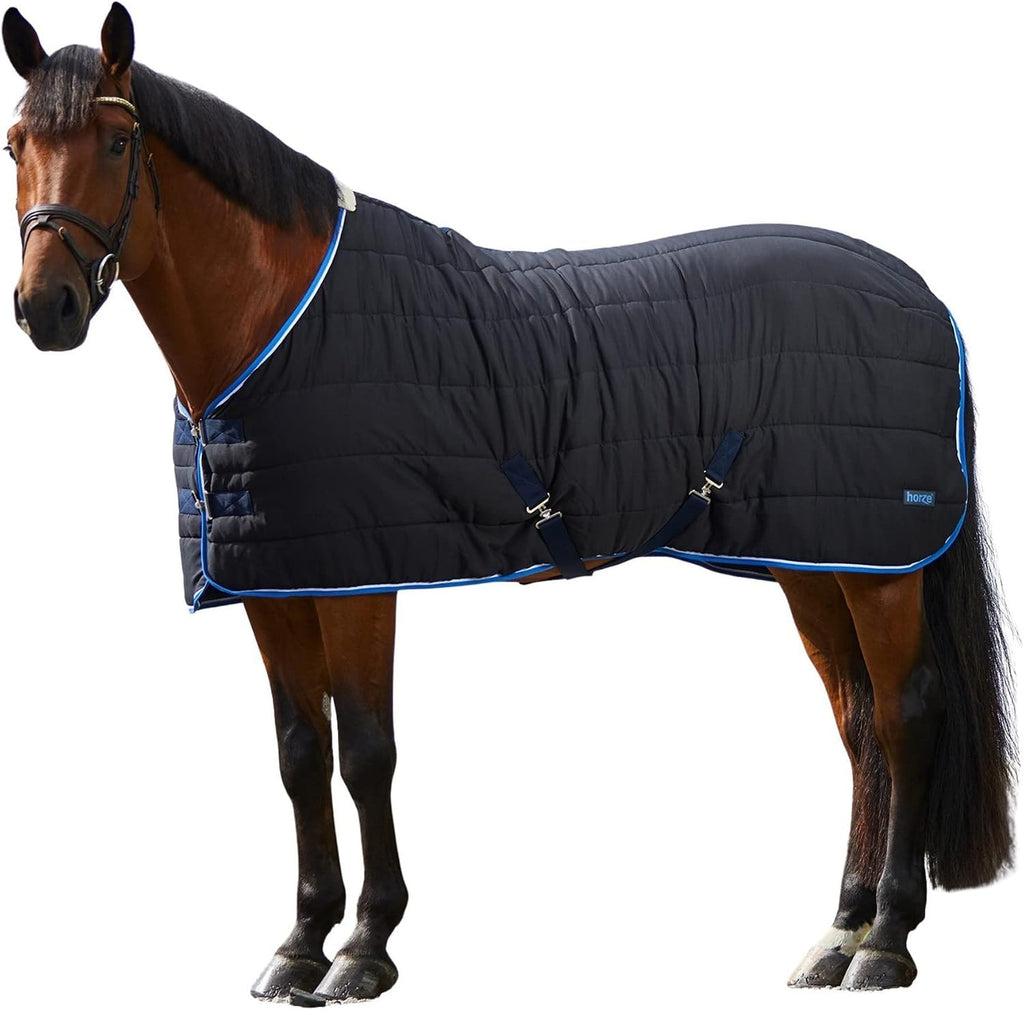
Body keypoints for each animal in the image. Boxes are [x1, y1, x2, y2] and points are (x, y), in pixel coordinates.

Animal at [3, 3, 1016, 1004]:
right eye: (16, 142)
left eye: (119, 140)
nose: (46, 308)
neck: (278, 319)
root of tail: (923, 296)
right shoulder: (275, 584)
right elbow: (299, 758)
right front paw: (299, 944)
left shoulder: (361, 584)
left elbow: (366, 754)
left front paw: (365, 948)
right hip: (815, 559)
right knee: (858, 724)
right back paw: (839, 933)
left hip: (877, 566)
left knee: (904, 717)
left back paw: (886, 940)